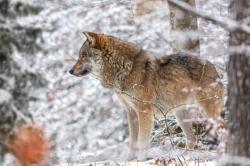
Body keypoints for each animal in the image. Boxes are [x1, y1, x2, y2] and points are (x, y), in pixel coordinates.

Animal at [69, 32, 224, 160]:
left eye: (82, 55)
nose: (70, 71)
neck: (124, 69)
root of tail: (214, 67)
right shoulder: (131, 112)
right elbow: (132, 142)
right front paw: (129, 160)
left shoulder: (143, 111)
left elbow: (142, 141)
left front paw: (141, 160)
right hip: (181, 116)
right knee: (192, 139)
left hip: (207, 111)